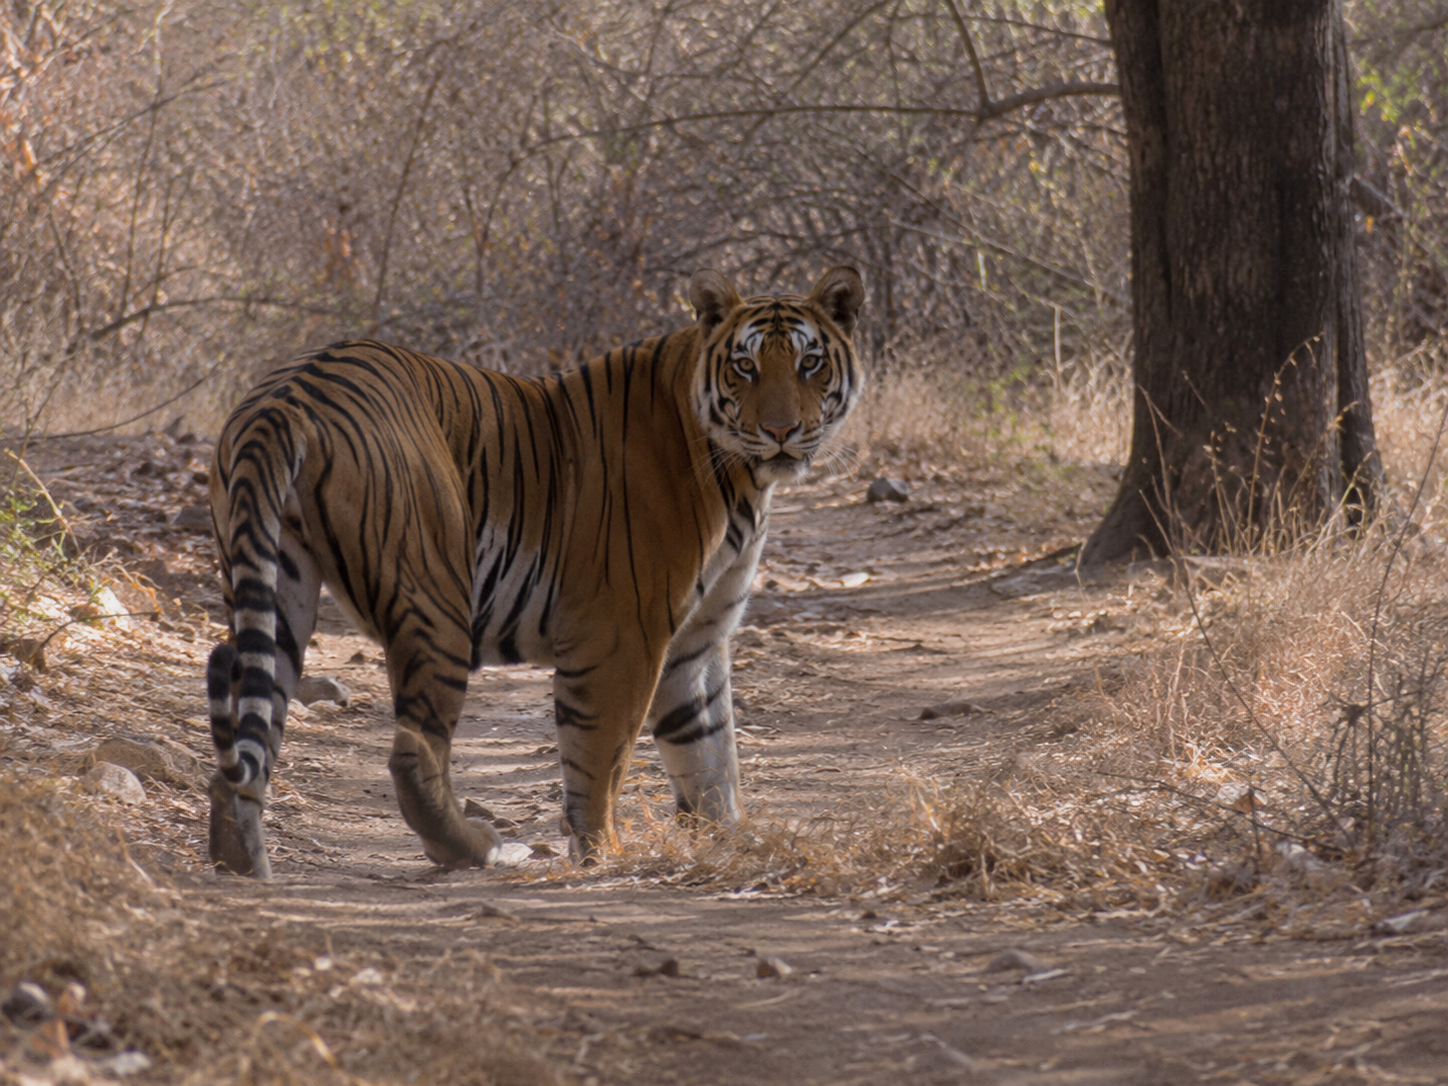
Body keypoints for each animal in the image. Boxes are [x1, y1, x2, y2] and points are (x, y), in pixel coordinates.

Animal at [205, 266, 865, 876]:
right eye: (745, 367)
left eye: (809, 363)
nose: (780, 431)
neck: (742, 476)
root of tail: (287, 397)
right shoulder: (623, 634)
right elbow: (600, 757)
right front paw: (603, 853)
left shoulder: (697, 638)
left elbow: (709, 754)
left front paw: (729, 841)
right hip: (436, 596)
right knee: (413, 756)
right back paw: (478, 848)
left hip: (279, 584)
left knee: (246, 737)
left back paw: (242, 864)